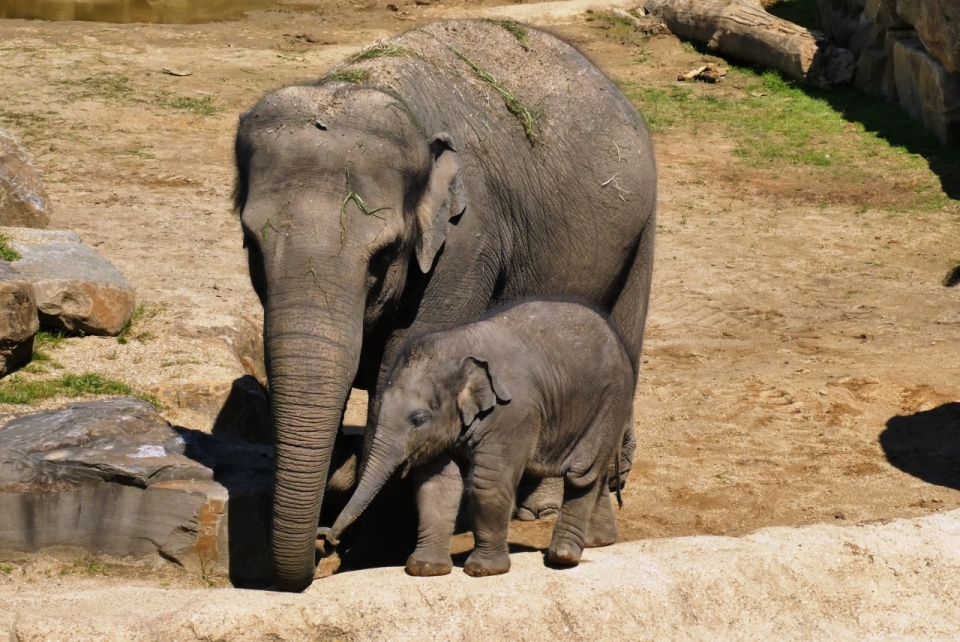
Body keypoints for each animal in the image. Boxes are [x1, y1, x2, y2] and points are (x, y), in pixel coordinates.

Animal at [324, 300, 636, 576]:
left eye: (418, 420)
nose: (329, 540)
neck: (457, 347)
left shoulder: (513, 414)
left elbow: (488, 482)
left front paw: (483, 571)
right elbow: (437, 485)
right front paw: (425, 569)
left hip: (610, 403)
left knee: (582, 473)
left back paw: (563, 557)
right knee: (594, 476)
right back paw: (598, 541)